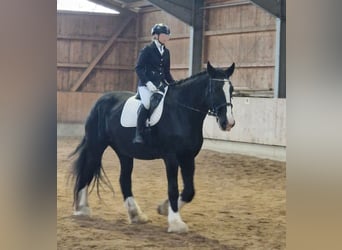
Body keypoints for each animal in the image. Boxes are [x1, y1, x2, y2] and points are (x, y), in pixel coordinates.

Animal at [70, 61, 235, 233]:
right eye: (214, 89)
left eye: (231, 90)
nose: (228, 123)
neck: (181, 112)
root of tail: (99, 101)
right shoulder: (171, 157)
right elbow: (173, 188)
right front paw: (176, 223)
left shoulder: (188, 157)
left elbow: (189, 191)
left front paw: (164, 208)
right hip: (96, 146)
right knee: (87, 171)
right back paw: (82, 209)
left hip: (124, 152)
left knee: (124, 179)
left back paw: (136, 215)